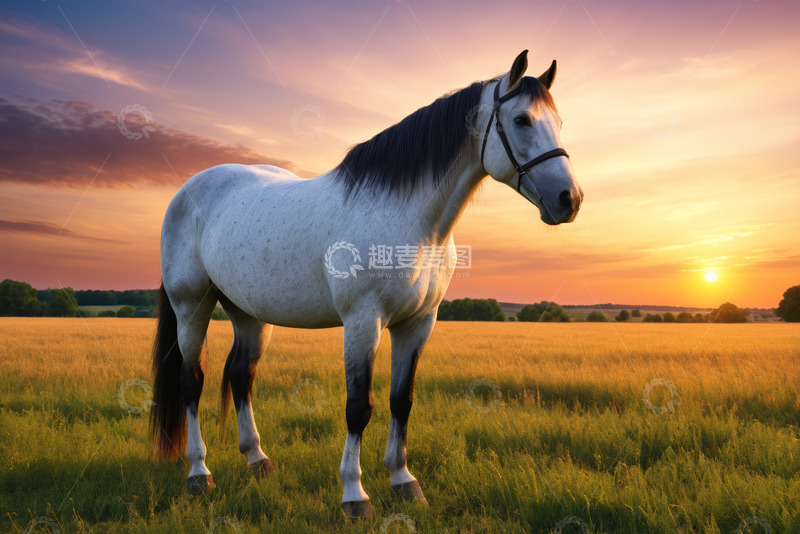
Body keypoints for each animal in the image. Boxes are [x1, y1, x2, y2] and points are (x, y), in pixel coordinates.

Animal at [150, 49, 583, 518]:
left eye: (559, 122)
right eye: (522, 120)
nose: (570, 200)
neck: (411, 220)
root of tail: (186, 191)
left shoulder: (418, 324)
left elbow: (401, 400)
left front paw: (404, 481)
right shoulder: (363, 322)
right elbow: (359, 407)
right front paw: (355, 495)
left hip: (249, 313)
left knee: (240, 374)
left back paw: (257, 460)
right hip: (191, 306)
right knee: (192, 380)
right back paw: (199, 473)